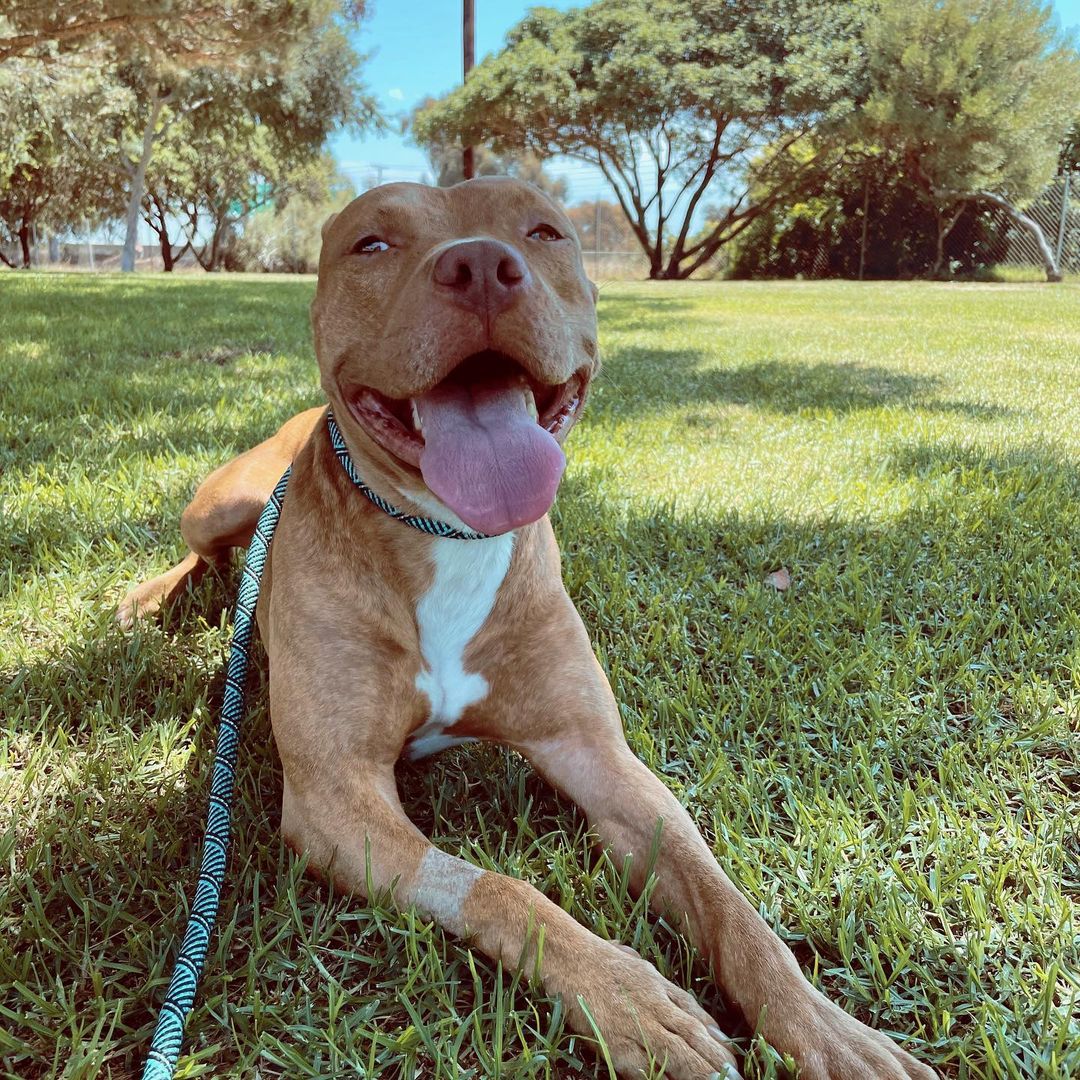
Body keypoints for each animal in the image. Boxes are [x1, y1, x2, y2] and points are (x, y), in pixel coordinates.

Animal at [120, 181, 937, 1075]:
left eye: (544, 230)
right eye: (372, 242)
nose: (480, 264)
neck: (449, 537)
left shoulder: (602, 760)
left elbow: (732, 906)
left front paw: (826, 1027)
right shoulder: (336, 795)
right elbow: (506, 890)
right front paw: (627, 998)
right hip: (222, 502)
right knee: (204, 553)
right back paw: (153, 596)